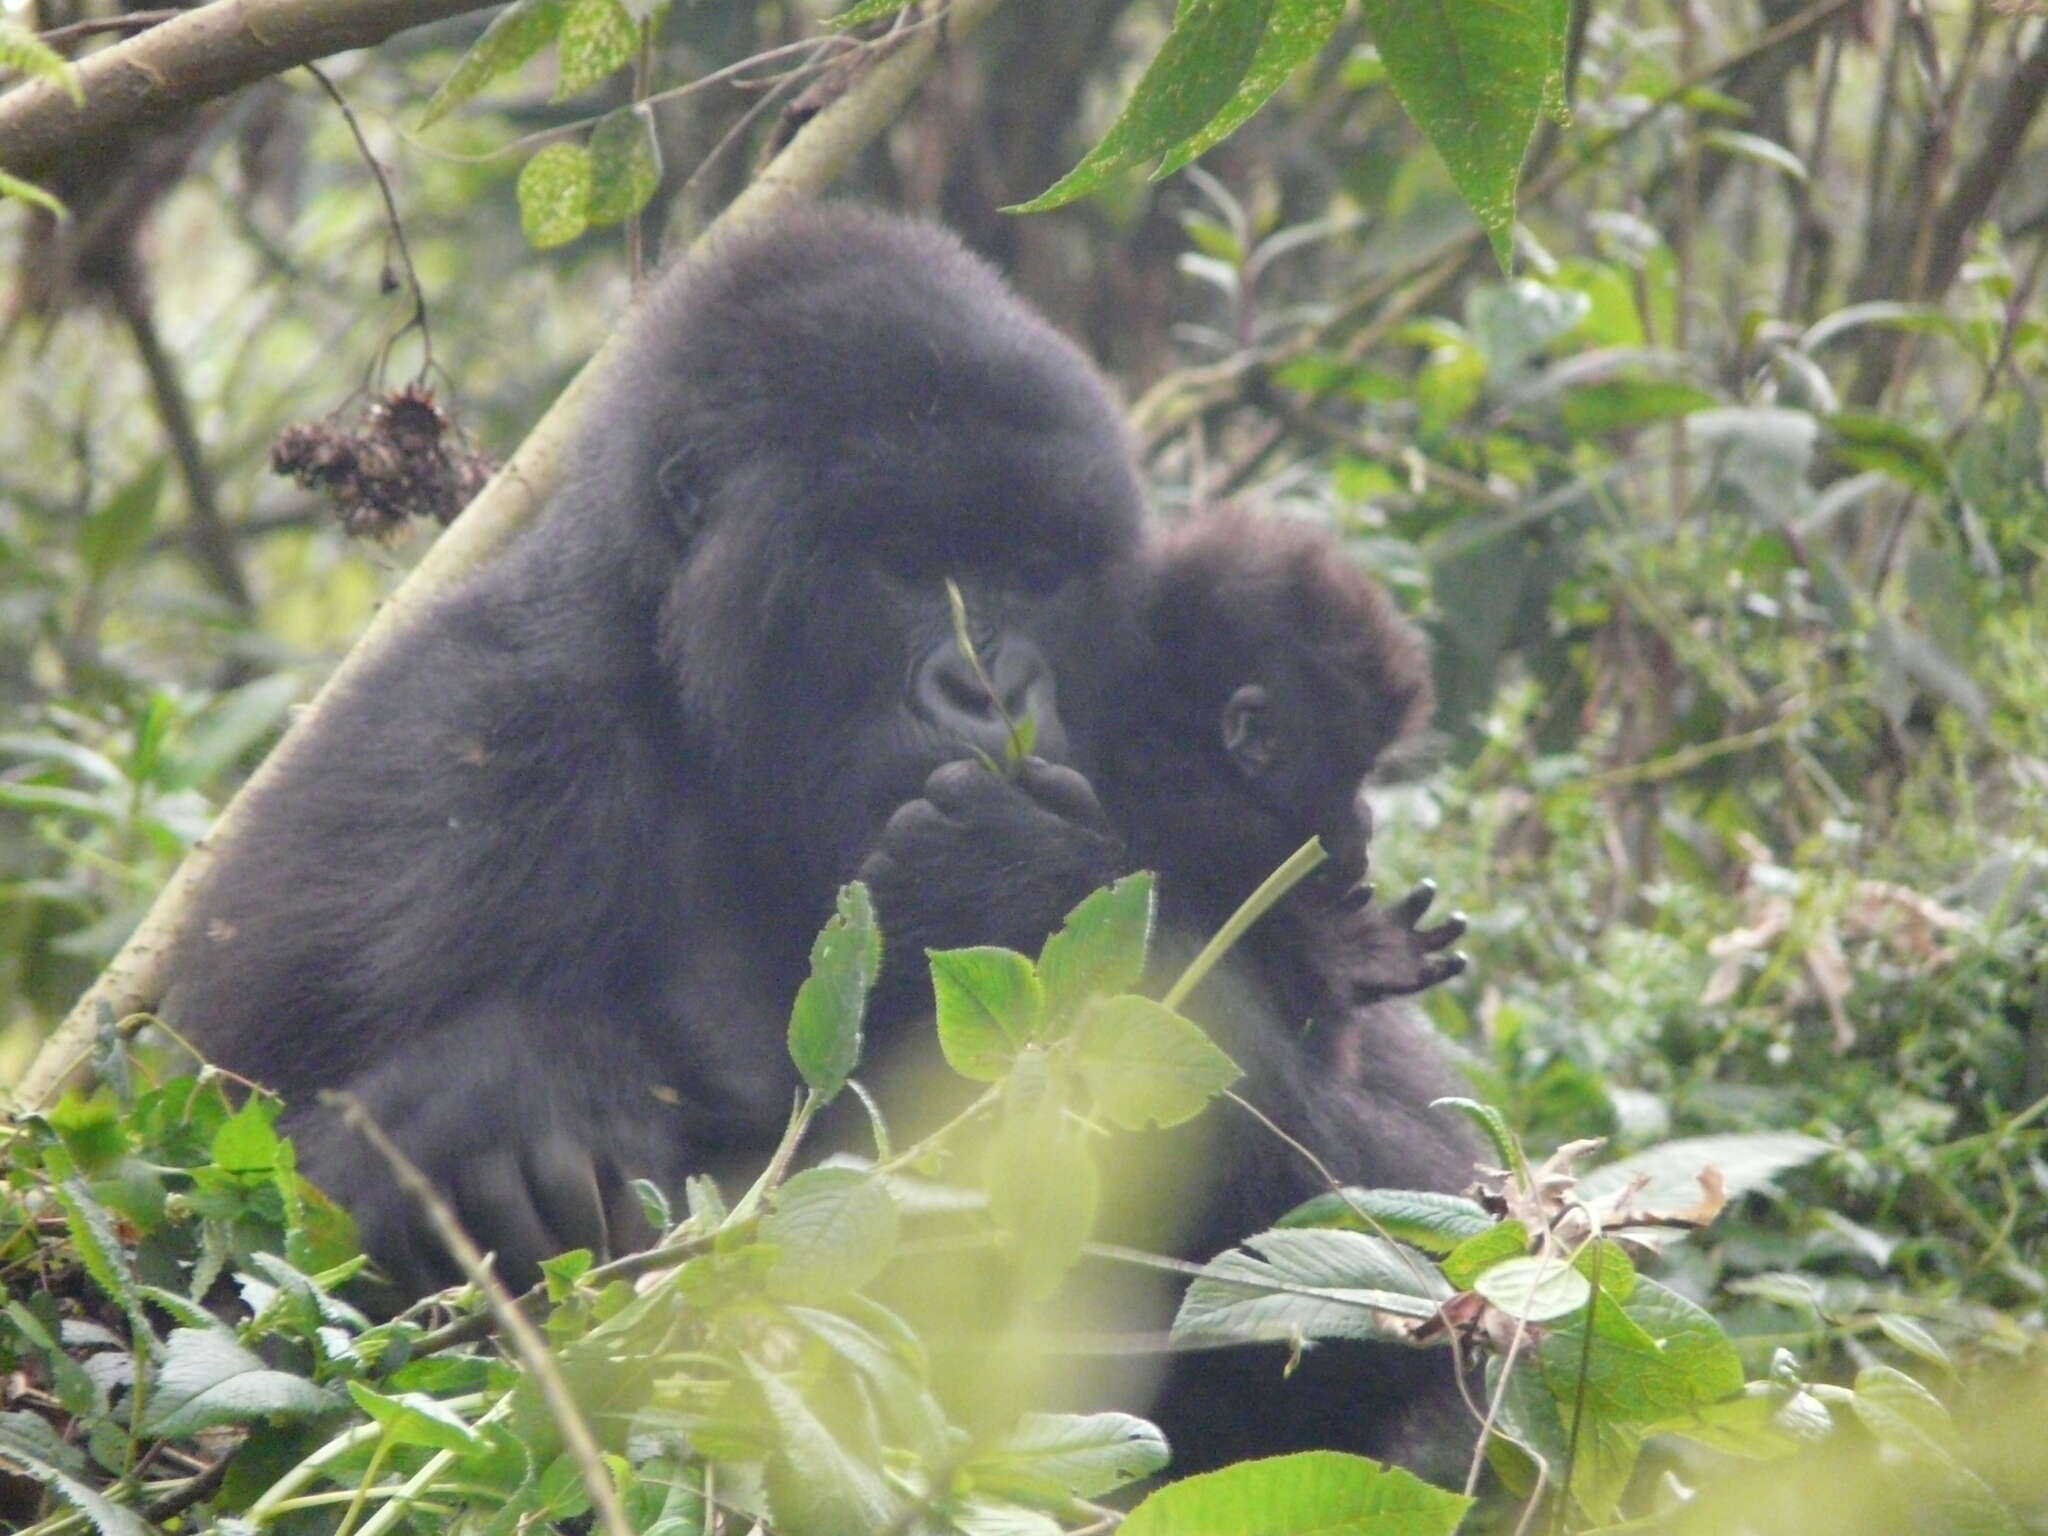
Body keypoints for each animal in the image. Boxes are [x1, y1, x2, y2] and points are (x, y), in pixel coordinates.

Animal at [163, 207, 1138, 1302]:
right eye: (906, 564)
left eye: (1038, 572)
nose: (989, 691)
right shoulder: (494, 760)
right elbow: (250, 1239)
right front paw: (493, 1112)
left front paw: (1011, 877)